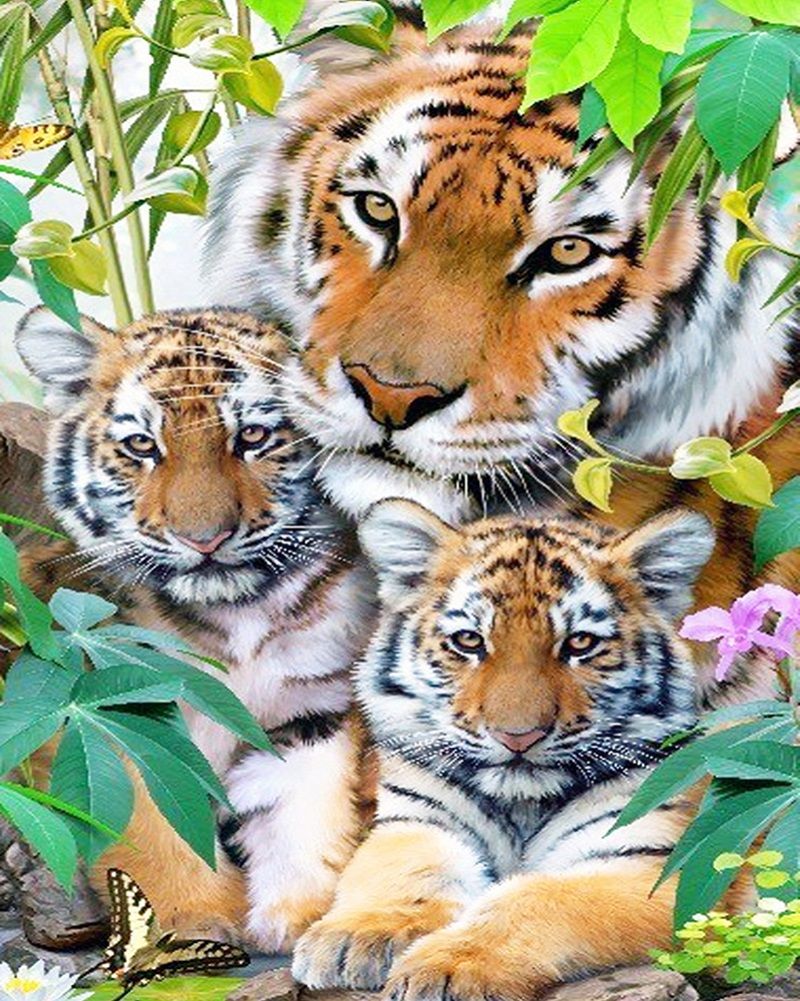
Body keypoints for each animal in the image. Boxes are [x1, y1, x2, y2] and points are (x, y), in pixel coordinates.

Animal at [13, 306, 376, 952]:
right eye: (141, 445)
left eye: (253, 437)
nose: (204, 539)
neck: (236, 614)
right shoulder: (113, 711)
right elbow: (151, 822)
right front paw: (196, 921)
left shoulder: (315, 706)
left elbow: (303, 805)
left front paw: (299, 913)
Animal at [292, 498, 748, 998]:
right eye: (469, 640)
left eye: (580, 643)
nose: (518, 736)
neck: (521, 804)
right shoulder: (417, 821)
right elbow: (407, 871)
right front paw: (356, 936)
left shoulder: (653, 867)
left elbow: (535, 898)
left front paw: (449, 968)